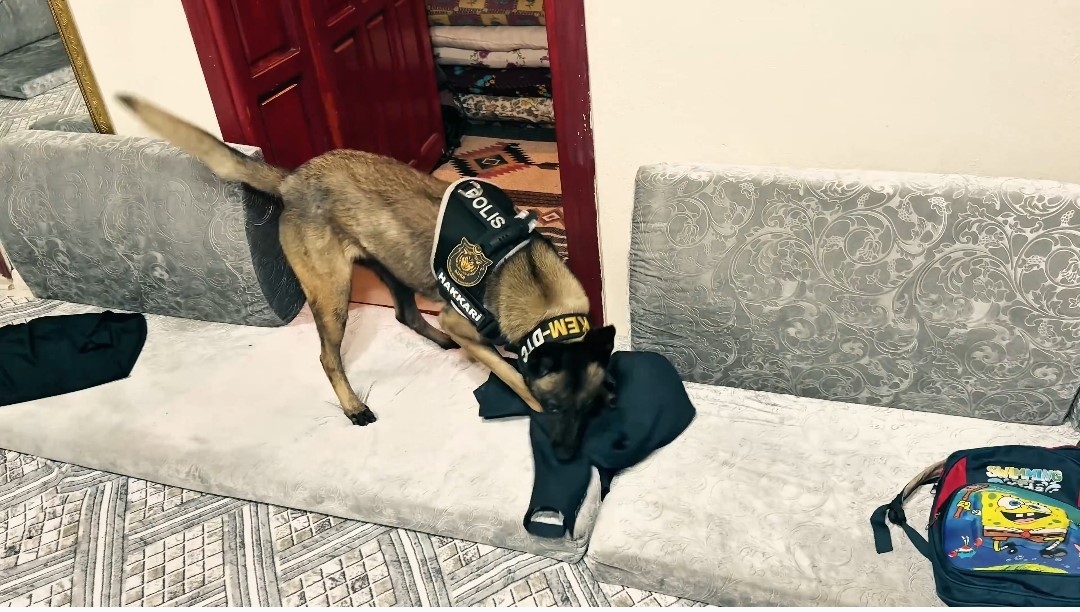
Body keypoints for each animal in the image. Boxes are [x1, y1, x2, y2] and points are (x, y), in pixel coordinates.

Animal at [117, 94, 616, 460]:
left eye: (588, 410)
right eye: (554, 407)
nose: (569, 456)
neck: (534, 286)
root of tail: (292, 180)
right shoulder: (468, 325)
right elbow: (510, 373)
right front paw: (522, 392)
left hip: (391, 267)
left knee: (404, 315)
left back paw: (437, 341)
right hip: (334, 296)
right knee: (328, 357)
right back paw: (354, 405)